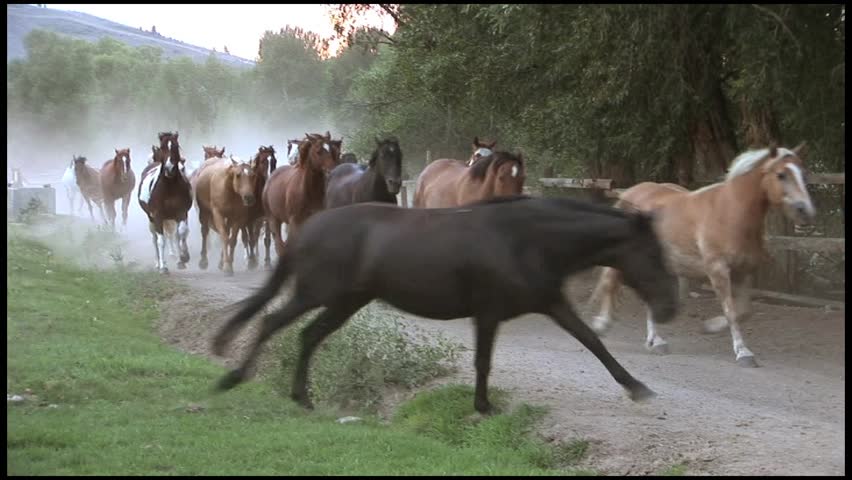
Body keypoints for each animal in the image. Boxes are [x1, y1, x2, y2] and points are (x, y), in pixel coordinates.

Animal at [137, 132, 193, 273]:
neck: (169, 188)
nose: (169, 168)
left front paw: (184, 257)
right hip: (151, 219)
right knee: (155, 239)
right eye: (162, 147)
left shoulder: (181, 213)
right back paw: (159, 263)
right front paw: (163, 268)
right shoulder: (157, 216)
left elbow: (181, 232)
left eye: (176, 146)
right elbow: (161, 241)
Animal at [211, 195, 679, 414]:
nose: (670, 309)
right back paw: (234, 378)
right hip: (317, 293)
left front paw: (637, 387)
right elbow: (482, 362)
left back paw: (301, 398)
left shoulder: (552, 302)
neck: (527, 240)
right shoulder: (488, 313)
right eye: (653, 253)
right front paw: (484, 407)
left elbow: (593, 344)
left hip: (346, 301)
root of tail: (307, 229)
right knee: (272, 322)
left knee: (308, 336)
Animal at [590, 143, 816, 367]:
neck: (731, 212)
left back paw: (656, 342)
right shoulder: (717, 270)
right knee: (610, 283)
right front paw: (743, 353)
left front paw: (710, 326)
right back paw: (603, 326)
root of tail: (629, 193)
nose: (805, 211)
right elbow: (731, 311)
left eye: (803, 174)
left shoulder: (743, 271)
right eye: (781, 175)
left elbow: (744, 311)